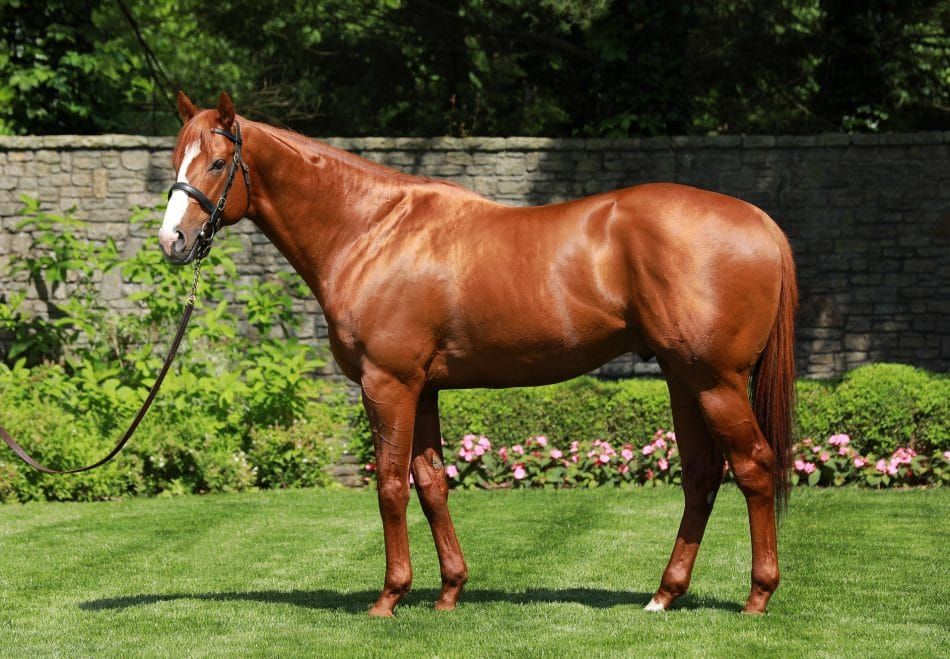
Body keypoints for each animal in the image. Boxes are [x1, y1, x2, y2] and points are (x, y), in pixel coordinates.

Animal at [161, 91, 797, 617]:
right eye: (175, 160)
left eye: (216, 163)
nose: (173, 241)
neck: (372, 230)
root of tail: (761, 221)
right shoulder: (423, 389)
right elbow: (431, 483)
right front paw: (448, 591)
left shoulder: (387, 384)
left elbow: (390, 485)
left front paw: (389, 597)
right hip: (682, 378)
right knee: (701, 476)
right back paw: (665, 595)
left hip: (715, 381)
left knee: (754, 468)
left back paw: (757, 597)